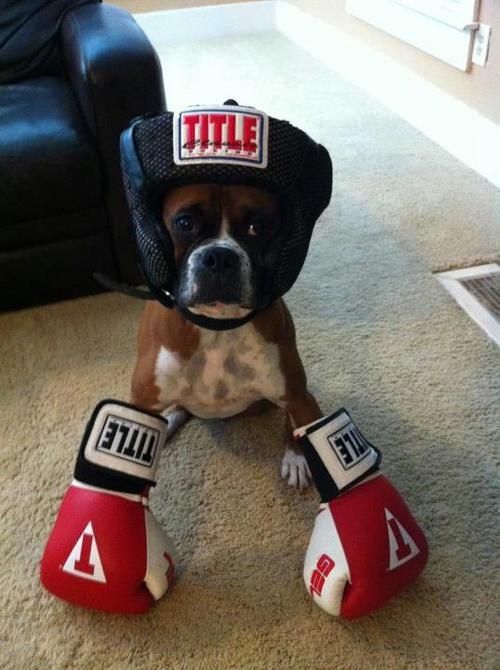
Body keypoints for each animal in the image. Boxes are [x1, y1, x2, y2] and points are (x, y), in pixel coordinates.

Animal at [131, 184, 322, 494]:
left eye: (257, 226)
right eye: (185, 223)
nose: (219, 257)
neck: (217, 326)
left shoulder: (297, 398)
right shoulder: (140, 402)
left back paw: (295, 457)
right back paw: (169, 419)